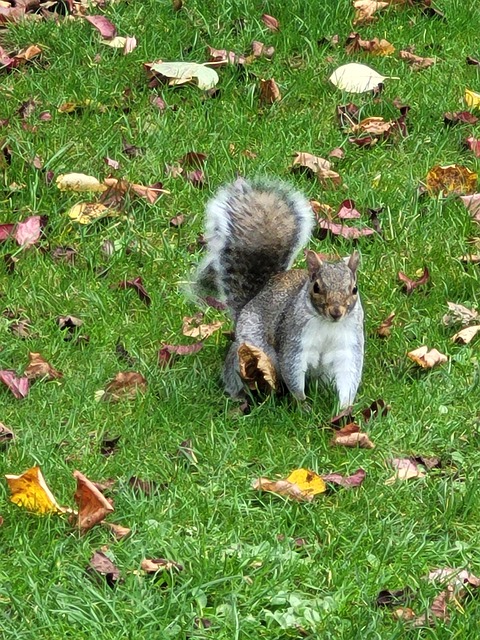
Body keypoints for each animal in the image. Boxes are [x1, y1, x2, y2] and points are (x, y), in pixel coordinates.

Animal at [194, 177, 364, 409]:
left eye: (354, 289)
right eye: (317, 287)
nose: (336, 312)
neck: (328, 325)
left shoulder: (349, 343)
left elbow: (349, 373)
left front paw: (344, 408)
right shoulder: (294, 339)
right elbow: (292, 370)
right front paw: (303, 405)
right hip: (248, 350)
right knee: (235, 370)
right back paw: (238, 394)